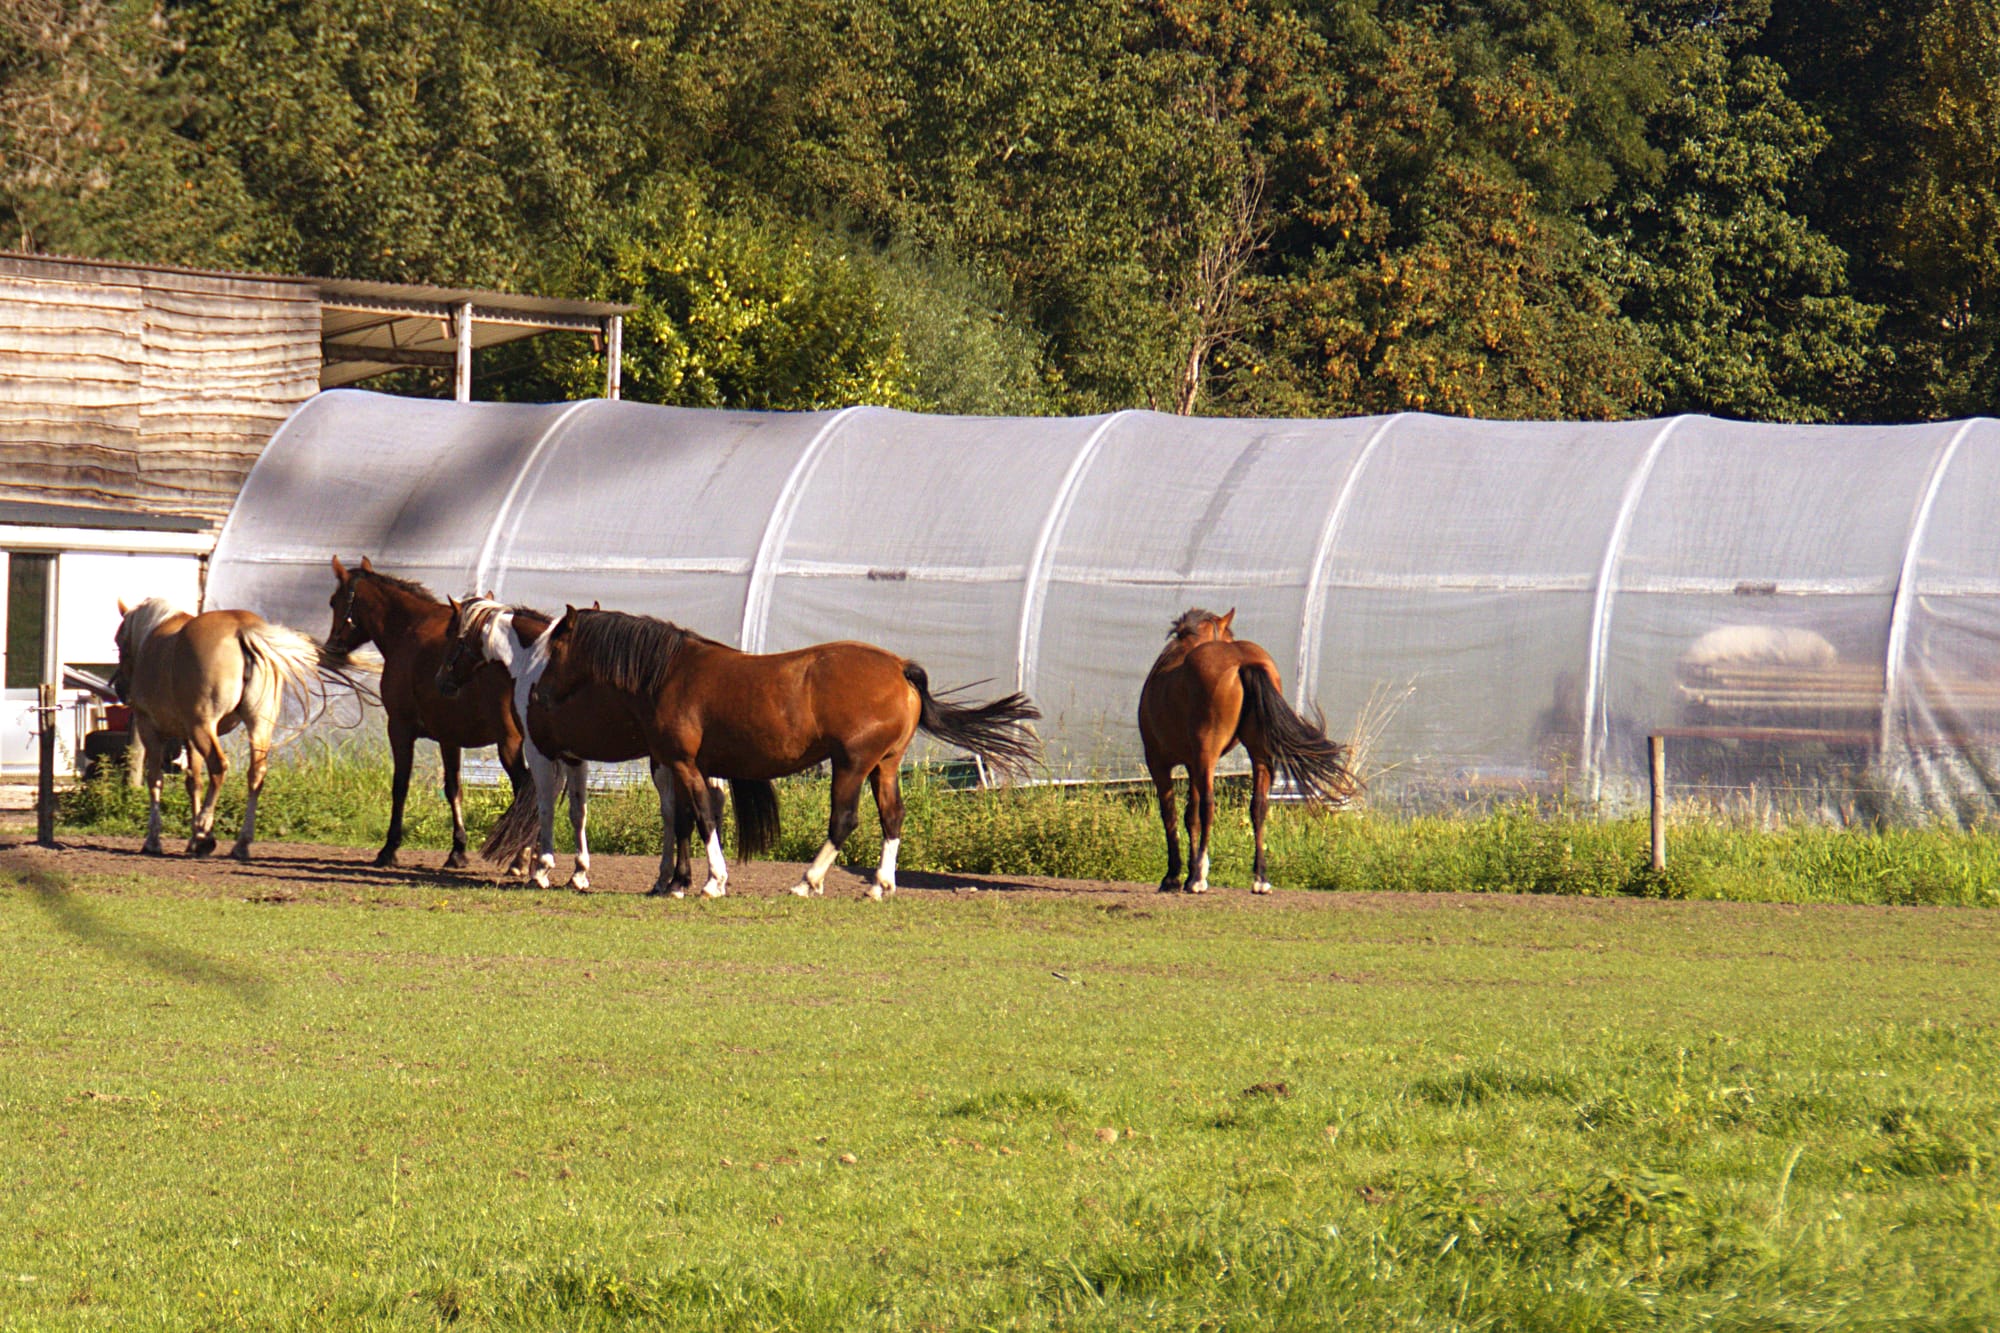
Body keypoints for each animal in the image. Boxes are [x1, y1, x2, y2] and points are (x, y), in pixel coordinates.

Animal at [111, 597, 375, 860]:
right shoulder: (189, 738)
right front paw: (192, 840)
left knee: (219, 767)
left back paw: (204, 831)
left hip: (203, 726)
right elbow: (193, 782)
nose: (120, 688)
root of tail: (243, 630)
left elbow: (155, 780)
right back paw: (239, 842)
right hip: (258, 726)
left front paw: (156, 839)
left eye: (118, 641)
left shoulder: (151, 730)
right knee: (256, 773)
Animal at [325, 556, 534, 870]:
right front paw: (458, 850)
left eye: (334, 602)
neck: (410, 629)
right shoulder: (450, 737)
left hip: (509, 744)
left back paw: (521, 859)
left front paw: (389, 849)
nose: (330, 646)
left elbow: (400, 785)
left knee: (526, 792)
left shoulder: (399, 728)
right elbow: (453, 788)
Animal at [434, 597, 773, 894]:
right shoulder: (574, 757)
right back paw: (674, 880)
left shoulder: (539, 752)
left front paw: (541, 870)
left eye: (453, 635)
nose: (442, 682)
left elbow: (544, 808)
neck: (532, 663)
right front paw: (578, 874)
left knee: (688, 812)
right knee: (691, 810)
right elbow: (578, 811)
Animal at [501, 606, 1042, 900]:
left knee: (844, 820)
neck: (671, 672)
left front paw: (712, 881)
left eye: (555, 649)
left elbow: (703, 817)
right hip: (883, 767)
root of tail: (898, 667)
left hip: (852, 764)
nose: (535, 693)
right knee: (893, 817)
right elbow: (684, 821)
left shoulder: (684, 763)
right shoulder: (680, 765)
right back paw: (878, 884)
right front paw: (676, 881)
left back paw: (808, 880)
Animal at [1138, 607, 1359, 894]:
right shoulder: (1192, 764)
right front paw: (1188, 872)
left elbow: (1171, 814)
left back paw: (1199, 879)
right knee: (1259, 806)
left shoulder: (1160, 761)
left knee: (1209, 806)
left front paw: (1175, 876)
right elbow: (1190, 816)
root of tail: (1243, 661)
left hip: (1207, 753)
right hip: (1257, 753)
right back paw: (1260, 878)